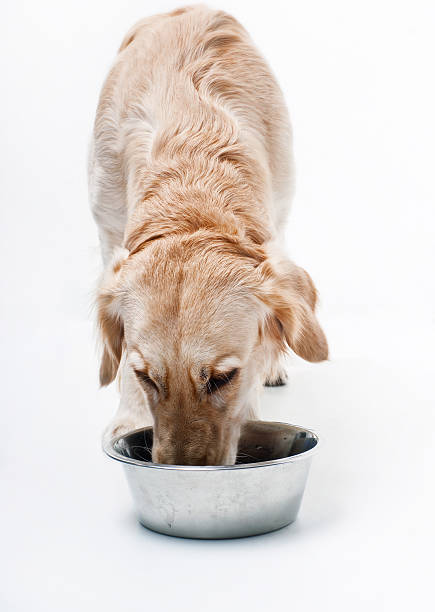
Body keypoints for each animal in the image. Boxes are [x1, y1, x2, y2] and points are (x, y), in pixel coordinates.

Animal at [89, 4, 328, 466]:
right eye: (147, 377)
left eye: (222, 378)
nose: (183, 470)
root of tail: (188, 8)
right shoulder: (110, 241)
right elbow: (120, 354)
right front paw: (129, 417)